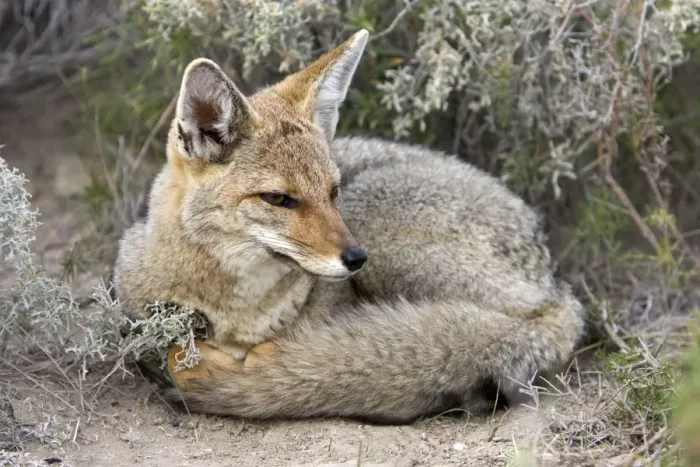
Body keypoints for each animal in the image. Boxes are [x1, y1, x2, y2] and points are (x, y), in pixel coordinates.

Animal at [112, 29, 587, 423]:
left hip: (381, 225)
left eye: (331, 191)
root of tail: (559, 286)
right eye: (278, 199)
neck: (239, 313)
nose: (355, 258)